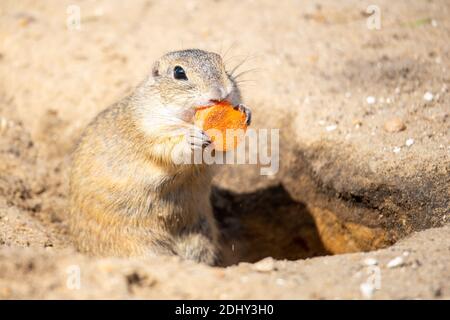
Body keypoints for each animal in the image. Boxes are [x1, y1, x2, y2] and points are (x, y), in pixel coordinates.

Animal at [71, 49, 253, 264]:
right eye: (179, 72)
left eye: (223, 65)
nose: (221, 93)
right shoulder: (150, 129)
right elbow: (169, 148)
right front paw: (191, 138)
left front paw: (245, 111)